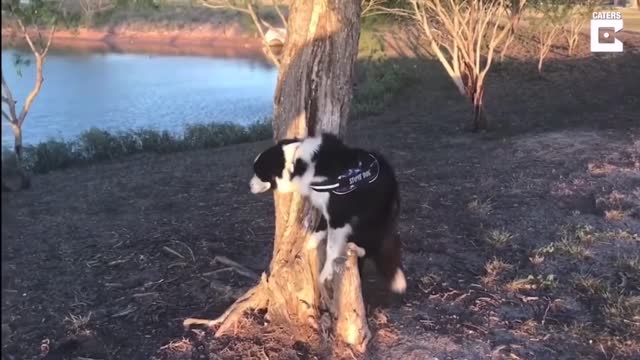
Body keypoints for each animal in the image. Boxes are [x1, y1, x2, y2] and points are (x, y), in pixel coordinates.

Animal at [249, 134, 404, 294]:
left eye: (258, 173)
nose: (249, 186)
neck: (298, 163)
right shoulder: (325, 206)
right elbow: (321, 225)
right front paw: (310, 241)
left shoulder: (338, 215)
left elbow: (331, 248)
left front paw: (325, 273)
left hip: (372, 216)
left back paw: (359, 249)